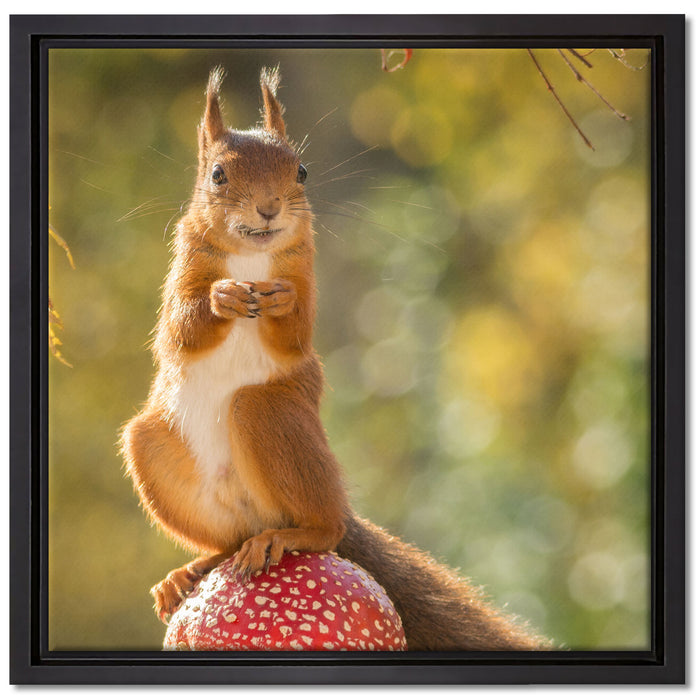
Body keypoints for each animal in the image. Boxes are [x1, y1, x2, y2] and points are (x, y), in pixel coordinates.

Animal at [120, 66, 548, 651]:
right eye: (218, 175)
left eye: (301, 171)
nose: (270, 207)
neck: (252, 258)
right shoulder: (182, 270)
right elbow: (180, 329)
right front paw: (220, 299)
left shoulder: (305, 271)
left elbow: (296, 334)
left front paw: (280, 304)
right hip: (153, 451)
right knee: (228, 542)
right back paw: (191, 570)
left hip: (272, 415)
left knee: (325, 528)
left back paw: (292, 534)